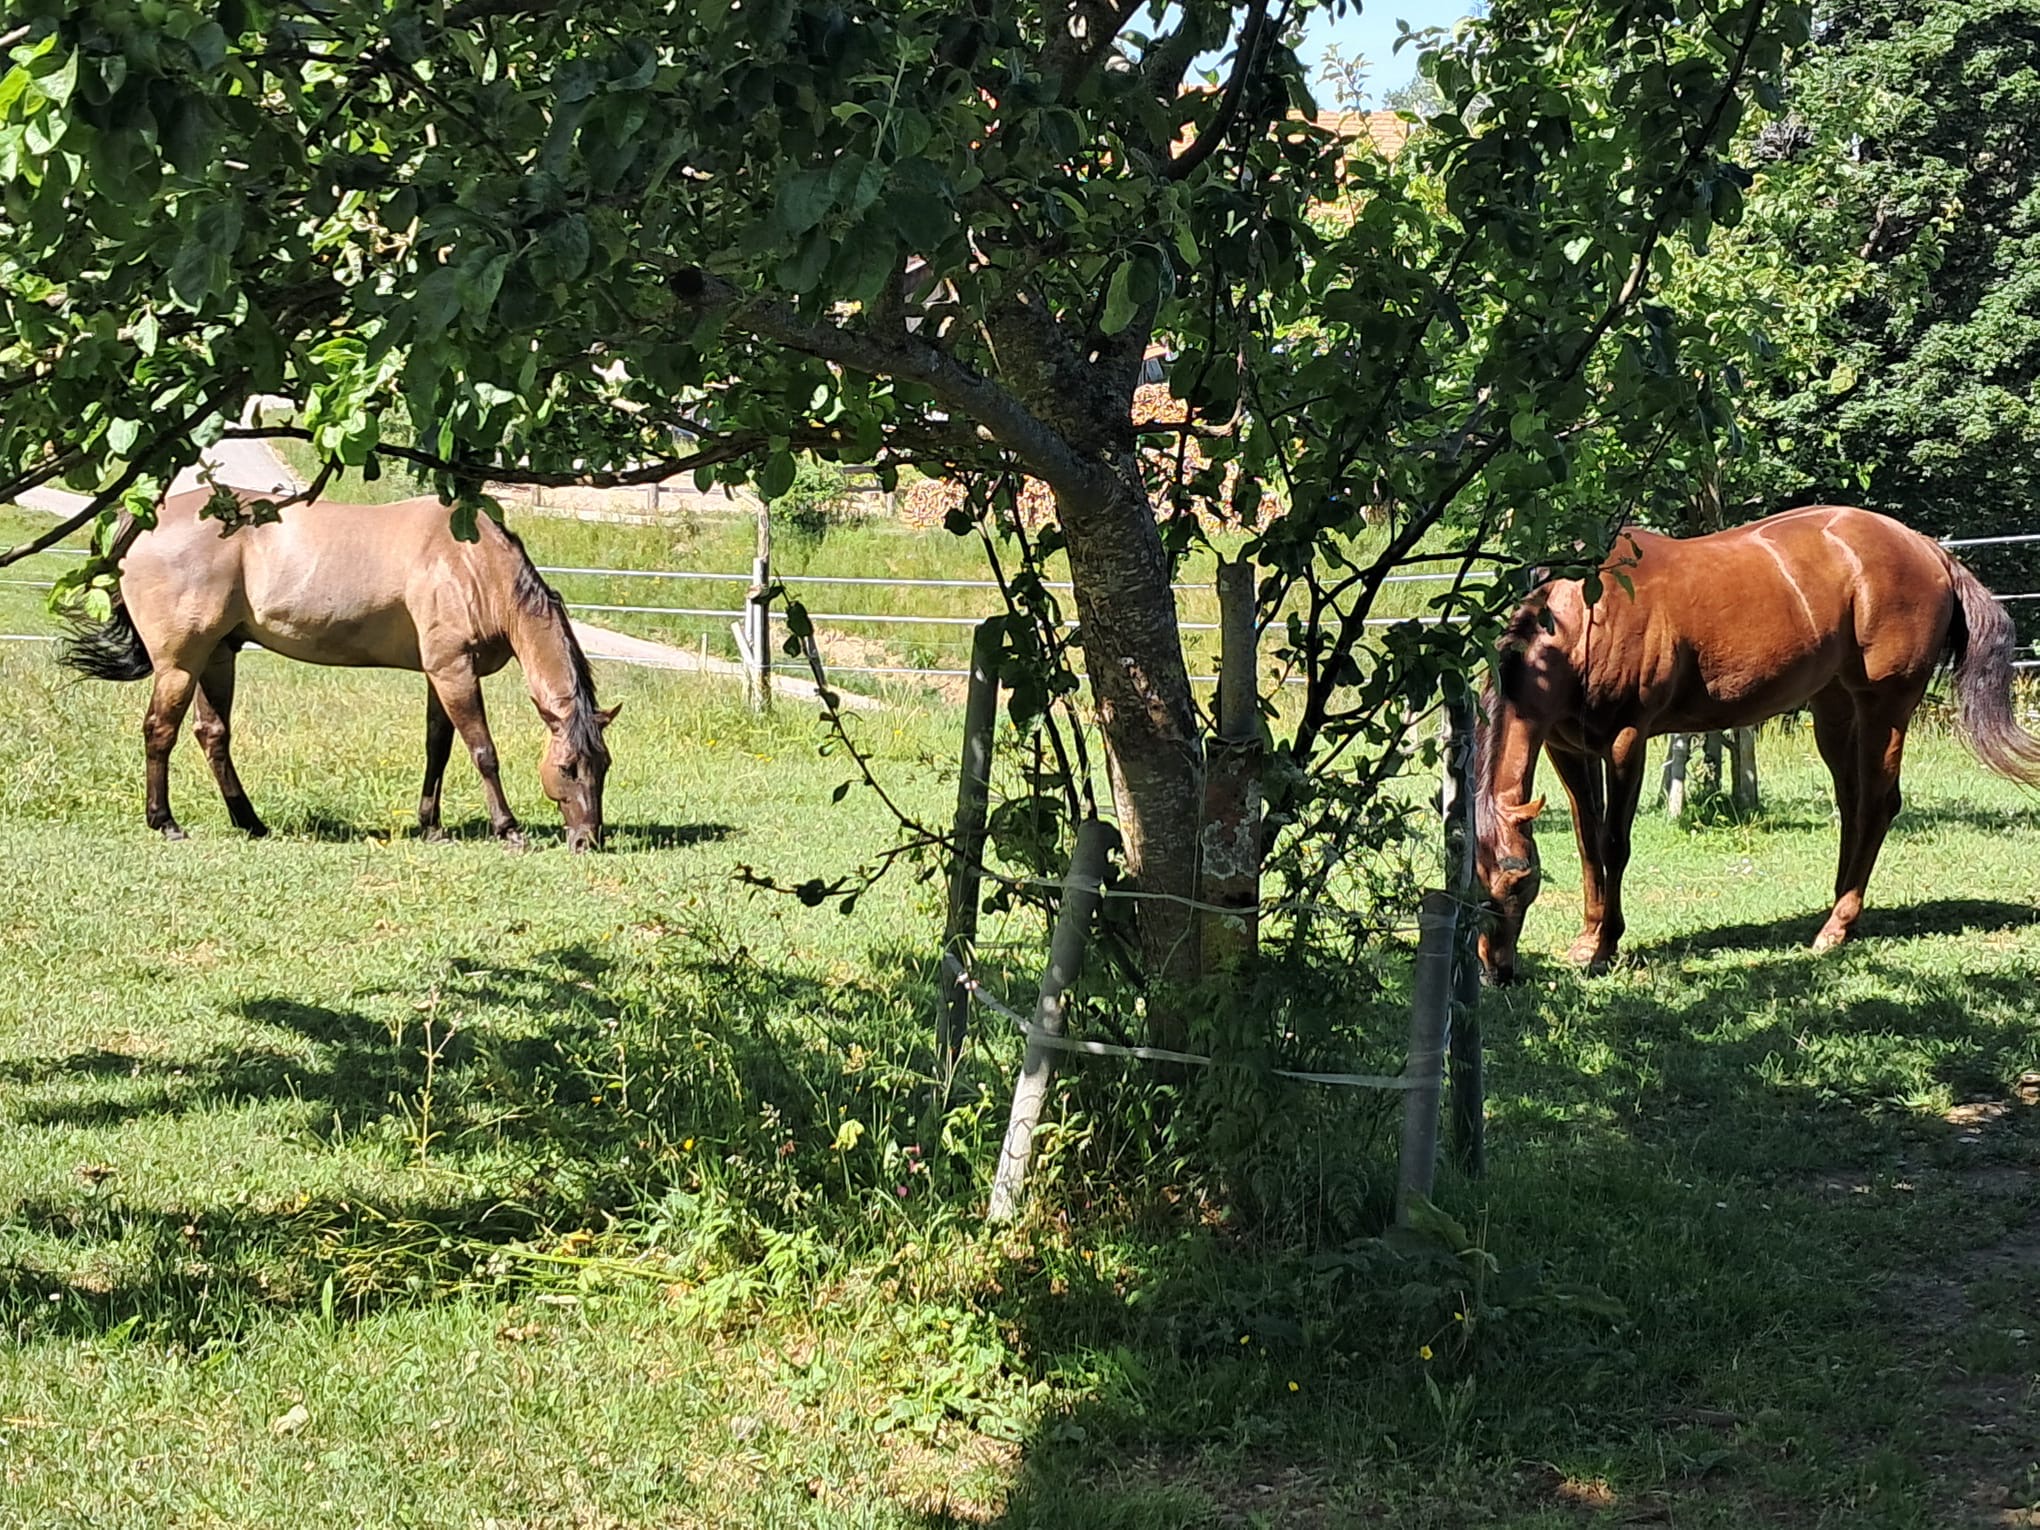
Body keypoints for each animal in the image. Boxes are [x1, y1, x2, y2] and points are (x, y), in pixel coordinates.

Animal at [61, 486, 618, 851]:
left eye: (604, 766)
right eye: (567, 767)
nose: (588, 839)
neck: (471, 562)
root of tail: (147, 518)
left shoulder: (440, 674)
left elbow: (437, 749)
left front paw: (432, 826)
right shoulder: (454, 671)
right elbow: (483, 752)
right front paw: (508, 828)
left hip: (216, 655)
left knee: (212, 735)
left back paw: (250, 821)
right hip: (180, 662)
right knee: (160, 732)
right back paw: (165, 822)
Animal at [1473, 504, 2040, 984]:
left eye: (1519, 881)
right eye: (1472, 883)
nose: (1496, 970)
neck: (1589, 615)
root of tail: (1930, 550)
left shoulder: (1625, 742)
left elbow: (1614, 843)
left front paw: (1607, 944)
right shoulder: (1568, 749)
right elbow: (1588, 843)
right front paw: (1587, 940)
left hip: (1886, 704)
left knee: (1878, 804)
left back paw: (1837, 926)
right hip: (1834, 707)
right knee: (1853, 804)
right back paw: (1836, 913)